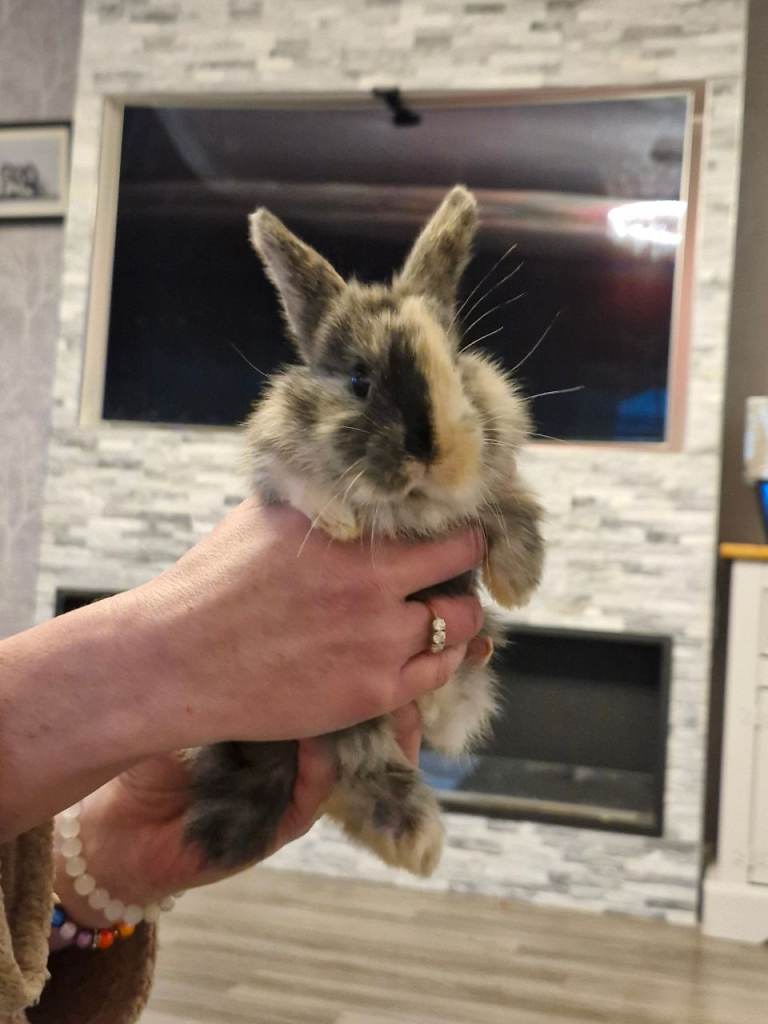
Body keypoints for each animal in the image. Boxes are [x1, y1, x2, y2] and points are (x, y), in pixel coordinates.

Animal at [183, 186, 544, 877]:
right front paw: (342, 521)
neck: (411, 506)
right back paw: (414, 842)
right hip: (343, 708)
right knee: (361, 772)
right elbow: (298, 480)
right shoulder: (275, 462)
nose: (432, 453)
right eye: (358, 380)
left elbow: (509, 504)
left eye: (454, 367)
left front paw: (519, 582)